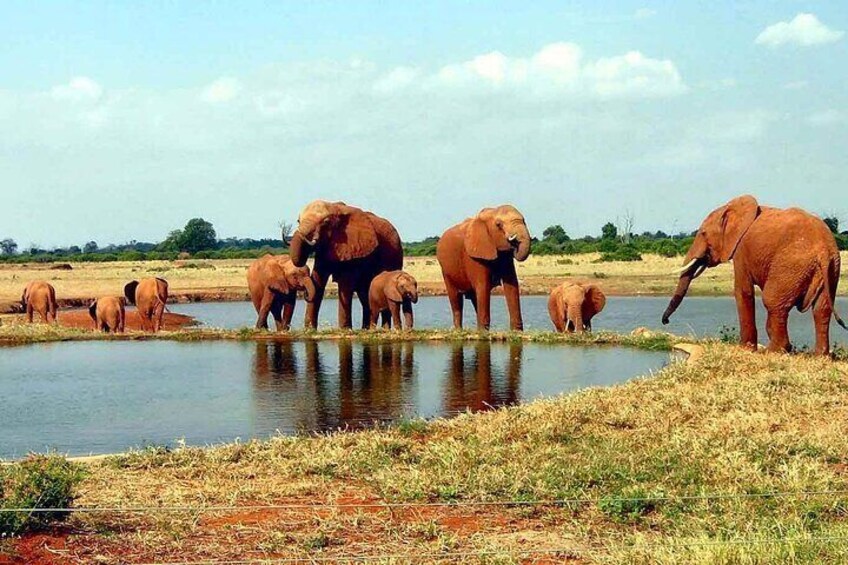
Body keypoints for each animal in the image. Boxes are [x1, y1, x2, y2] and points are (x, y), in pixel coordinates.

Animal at [288, 200, 403, 329]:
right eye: (298, 221)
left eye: (325, 223)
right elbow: (318, 281)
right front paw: (309, 329)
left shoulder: (353, 248)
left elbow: (345, 284)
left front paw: (345, 329)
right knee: (365, 294)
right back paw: (365, 328)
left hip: (394, 257)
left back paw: (383, 329)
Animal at [662, 194, 847, 356]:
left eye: (703, 234)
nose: (665, 322)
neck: (729, 209)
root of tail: (823, 250)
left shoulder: (741, 250)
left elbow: (743, 291)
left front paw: (745, 350)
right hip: (832, 268)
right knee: (821, 308)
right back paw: (820, 355)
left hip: (791, 266)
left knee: (772, 301)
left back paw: (773, 351)